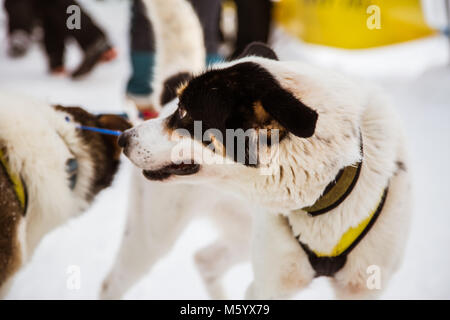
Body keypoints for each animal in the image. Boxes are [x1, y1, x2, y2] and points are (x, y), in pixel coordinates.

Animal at [101, 0, 412, 300]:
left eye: (186, 113)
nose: (124, 138)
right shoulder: (271, 285)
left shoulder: (362, 288)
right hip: (151, 238)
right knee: (112, 284)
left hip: (240, 237)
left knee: (205, 260)